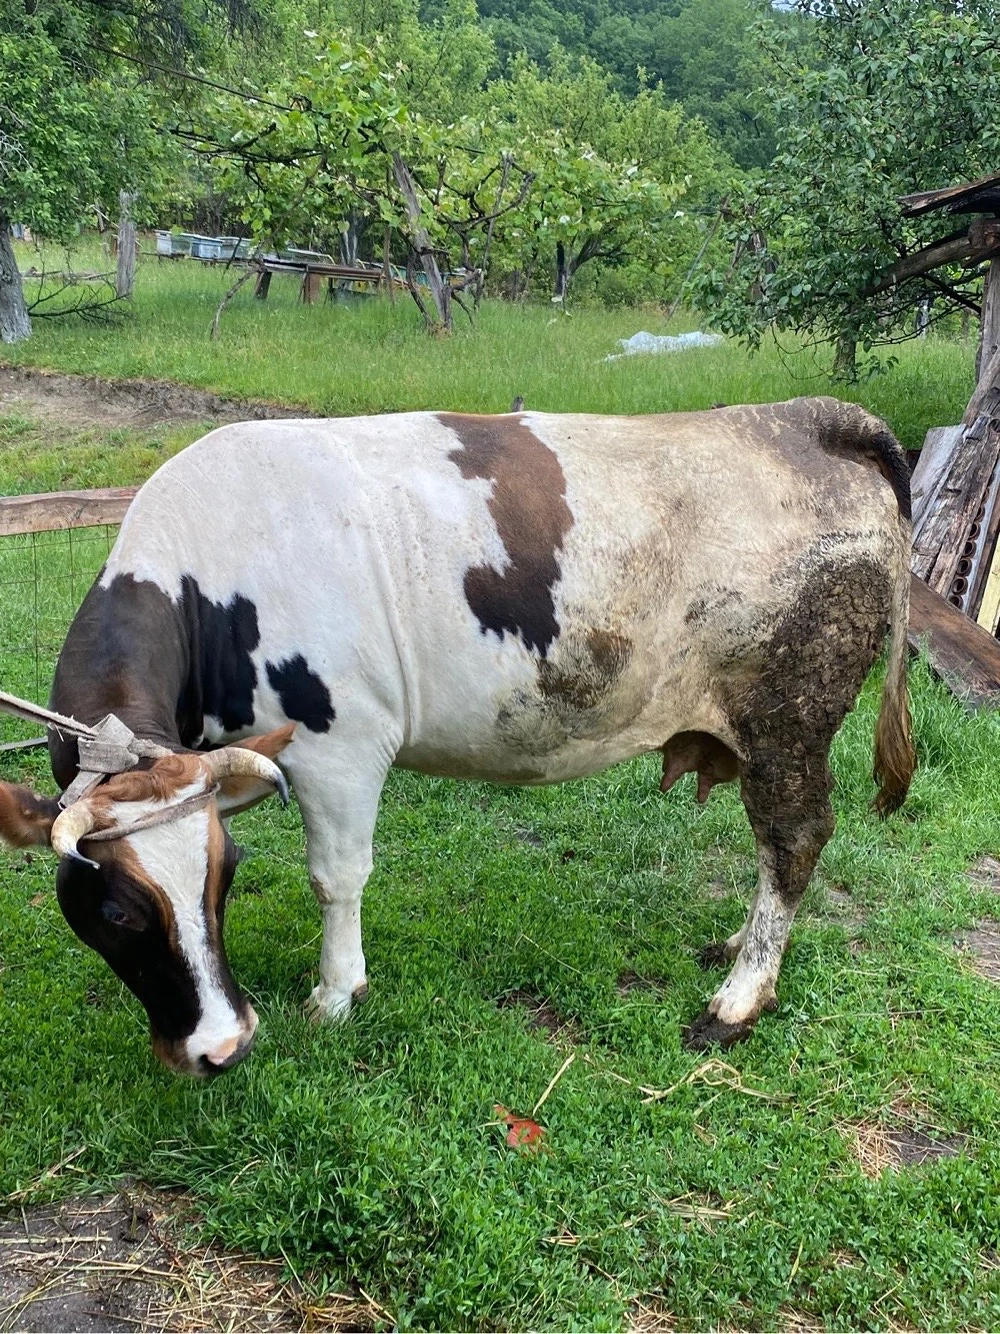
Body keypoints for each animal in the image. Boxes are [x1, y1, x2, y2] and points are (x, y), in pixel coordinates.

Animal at [0, 397, 915, 1075]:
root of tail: (808, 417)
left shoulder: (340, 747)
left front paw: (336, 995)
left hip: (788, 718)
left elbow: (337, 879)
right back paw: (739, 943)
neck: (209, 582)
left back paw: (741, 993)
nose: (221, 1047)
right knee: (776, 855)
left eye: (219, 882)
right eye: (117, 910)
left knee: (794, 839)